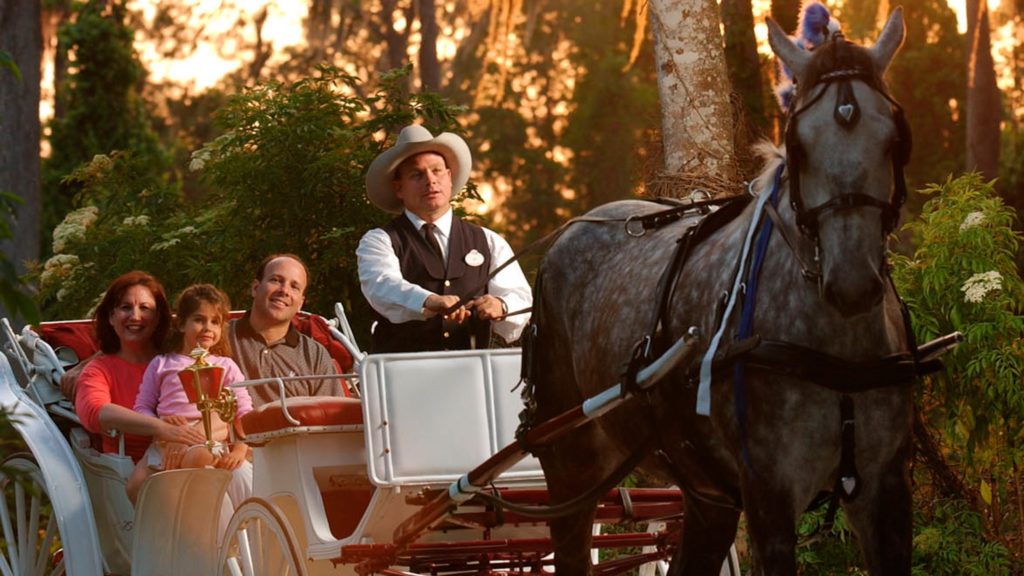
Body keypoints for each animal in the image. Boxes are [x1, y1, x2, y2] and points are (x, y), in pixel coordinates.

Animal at [524, 10, 917, 573]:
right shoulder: (769, 492)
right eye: (798, 145)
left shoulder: (885, 488)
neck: (837, 357)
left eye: (895, 139)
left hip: (704, 488)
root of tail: (575, 227)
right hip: (570, 460)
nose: (851, 281)